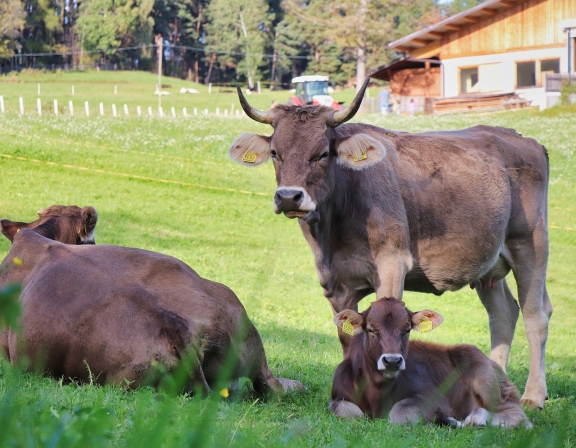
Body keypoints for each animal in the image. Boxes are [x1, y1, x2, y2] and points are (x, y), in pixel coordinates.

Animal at [227, 79, 551, 409]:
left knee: (535, 314)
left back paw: (533, 395)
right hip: (489, 265)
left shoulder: (393, 263)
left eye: (322, 153)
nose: (289, 197)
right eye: (275, 152)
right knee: (503, 314)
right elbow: (350, 335)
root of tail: (521, 138)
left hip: (531, 243)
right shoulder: (335, 281)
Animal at [329, 298, 532, 428]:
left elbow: (398, 413)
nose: (392, 361)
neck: (377, 392)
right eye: (371, 329)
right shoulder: (338, 397)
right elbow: (350, 413)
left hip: (485, 376)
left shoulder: (432, 397)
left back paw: (475, 419)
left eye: (407, 330)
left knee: (520, 417)